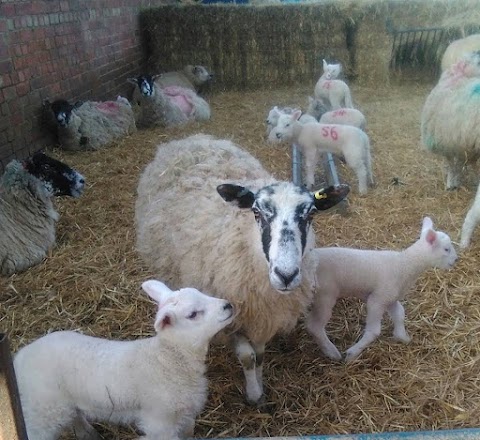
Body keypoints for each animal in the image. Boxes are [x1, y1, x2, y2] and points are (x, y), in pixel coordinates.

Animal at [135, 133, 348, 402]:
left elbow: (260, 354)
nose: (286, 275)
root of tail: (190, 139)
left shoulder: (263, 316)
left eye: (310, 215)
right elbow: (247, 357)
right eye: (257, 212)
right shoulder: (232, 316)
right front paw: (254, 395)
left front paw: (259, 382)